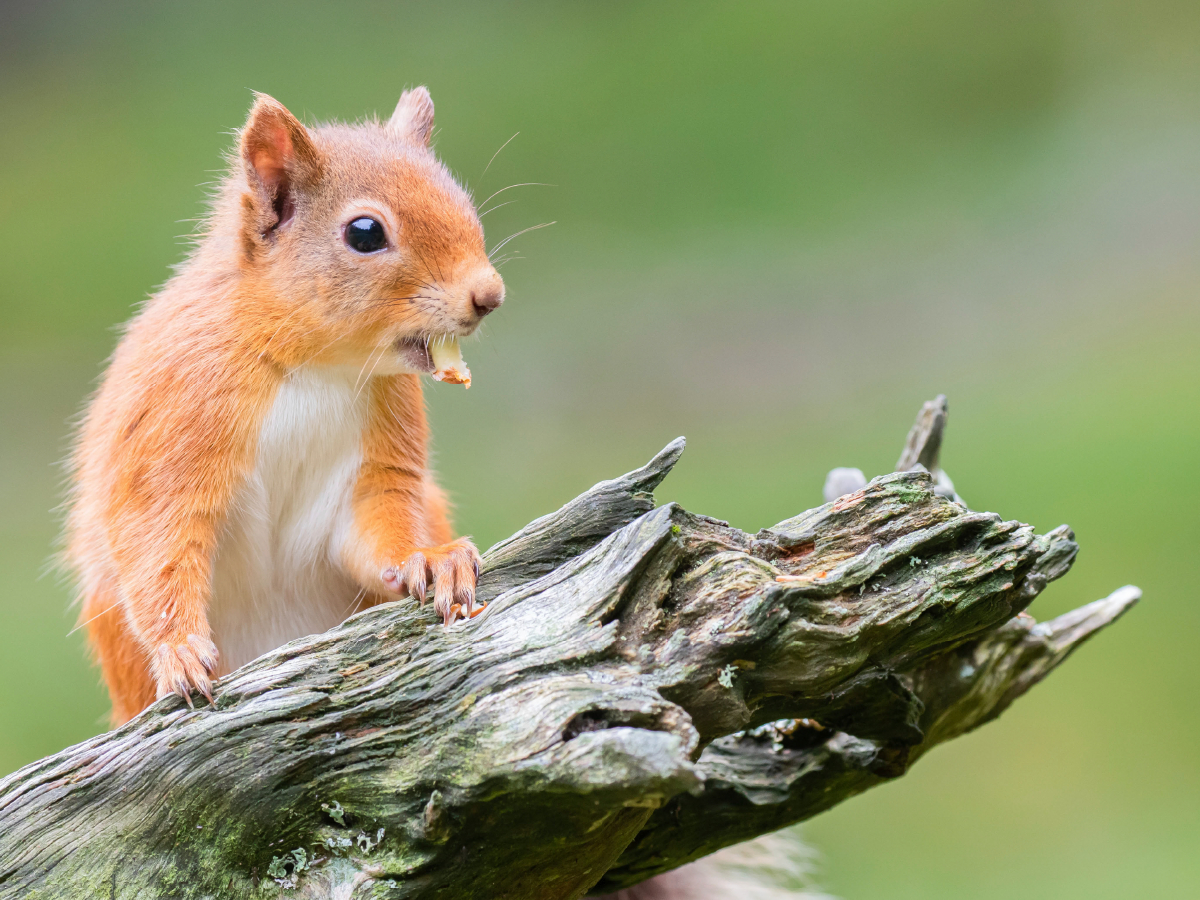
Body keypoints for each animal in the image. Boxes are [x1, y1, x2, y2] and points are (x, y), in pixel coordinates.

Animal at [66, 88, 501, 724]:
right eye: (365, 233)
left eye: (462, 201)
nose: (489, 295)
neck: (313, 367)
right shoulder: (176, 421)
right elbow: (159, 544)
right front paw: (178, 650)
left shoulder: (377, 453)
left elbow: (379, 523)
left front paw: (432, 559)